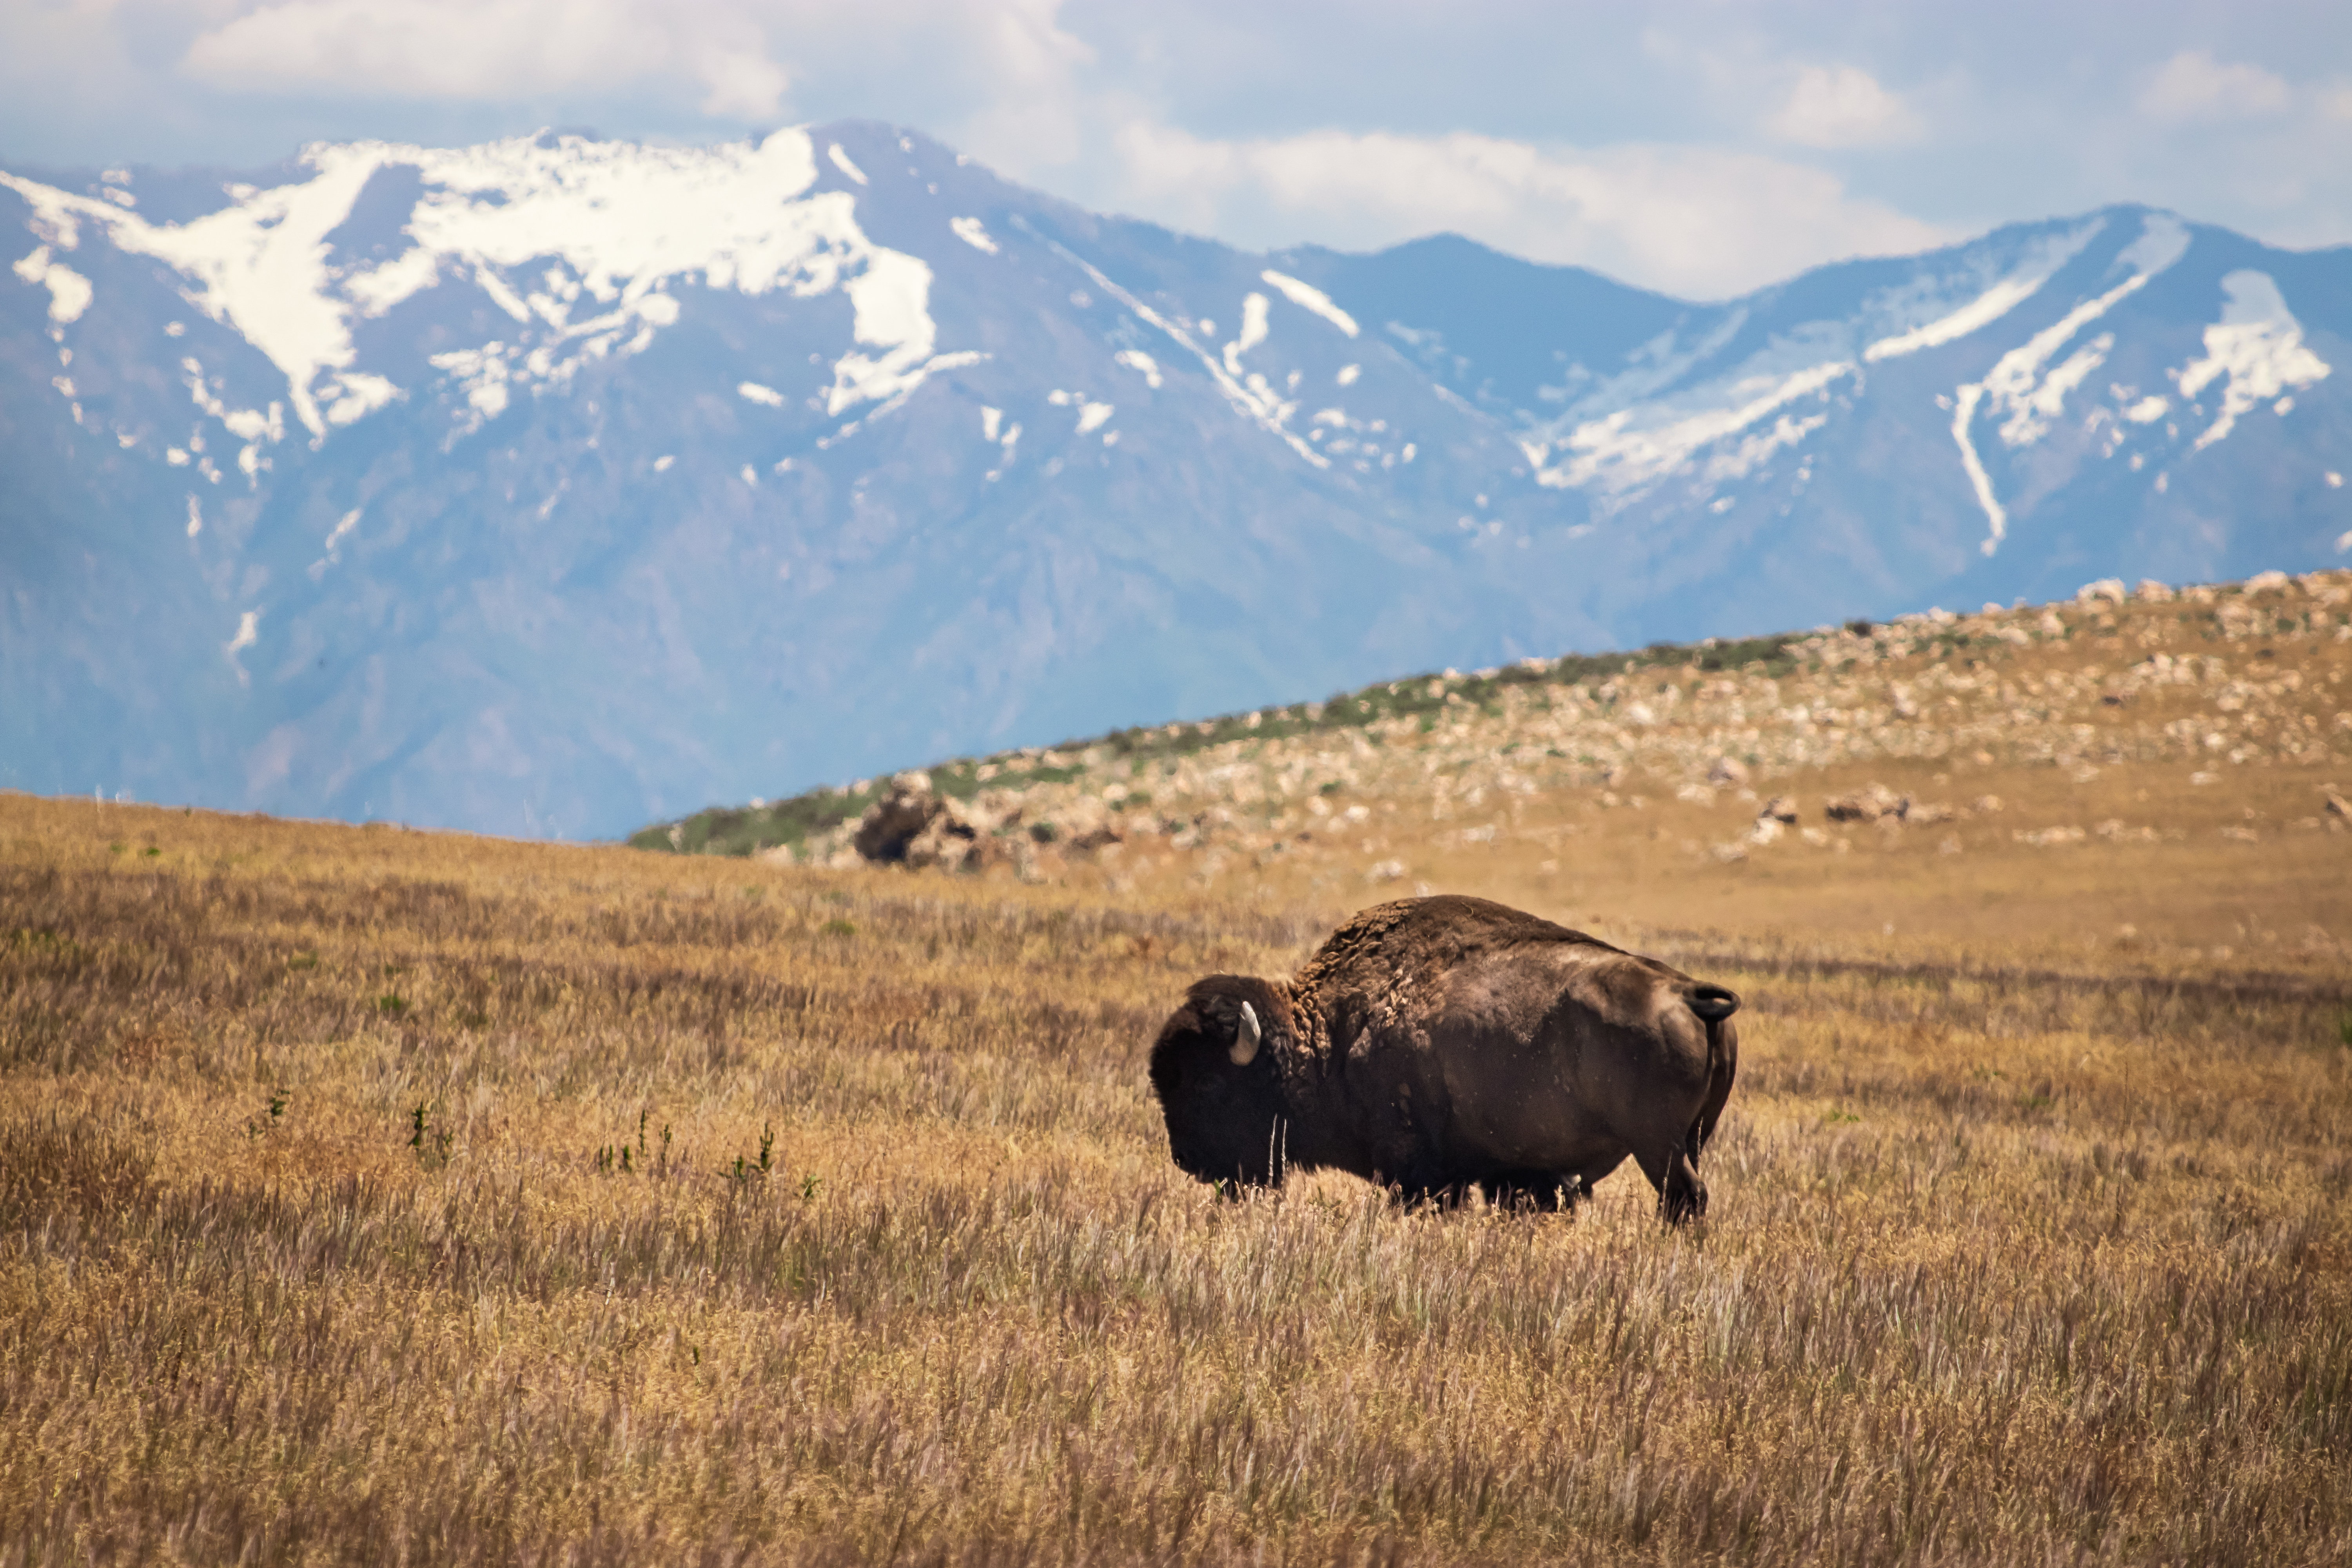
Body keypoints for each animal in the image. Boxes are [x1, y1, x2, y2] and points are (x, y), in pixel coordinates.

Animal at [1147, 895, 1740, 1222]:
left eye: (1207, 1083)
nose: (1186, 1159)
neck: (1332, 1031)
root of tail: (1688, 994)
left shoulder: (1416, 1170)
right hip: (1693, 1138)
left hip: (1657, 1145)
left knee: (1684, 1198)